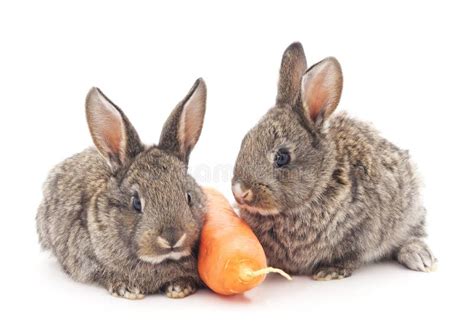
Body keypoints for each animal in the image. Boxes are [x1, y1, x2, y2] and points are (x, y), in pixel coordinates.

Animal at [232, 42, 436, 280]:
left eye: (282, 157)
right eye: (245, 141)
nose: (240, 192)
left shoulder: (361, 231)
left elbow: (351, 255)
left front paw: (330, 271)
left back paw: (419, 257)